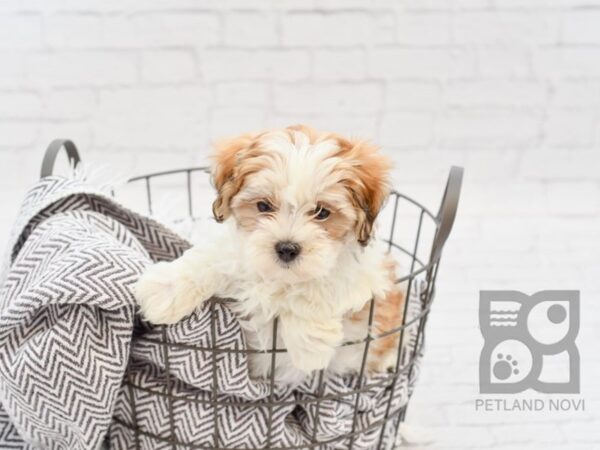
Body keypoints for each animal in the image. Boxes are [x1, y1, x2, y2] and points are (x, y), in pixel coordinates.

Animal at [135, 125, 406, 384]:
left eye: (321, 212)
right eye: (263, 206)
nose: (287, 248)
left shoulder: (369, 272)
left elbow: (325, 280)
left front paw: (310, 347)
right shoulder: (238, 250)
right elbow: (213, 258)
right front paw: (164, 290)